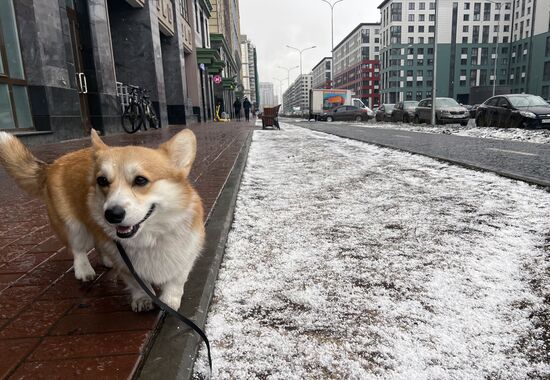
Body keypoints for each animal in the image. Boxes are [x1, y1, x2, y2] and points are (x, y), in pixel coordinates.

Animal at [0, 129, 206, 314]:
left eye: (140, 180)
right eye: (102, 181)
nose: (112, 214)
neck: (150, 237)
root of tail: (53, 164)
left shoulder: (187, 253)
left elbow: (177, 280)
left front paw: (169, 300)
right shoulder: (126, 265)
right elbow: (138, 284)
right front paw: (143, 299)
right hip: (72, 225)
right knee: (78, 249)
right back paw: (84, 270)